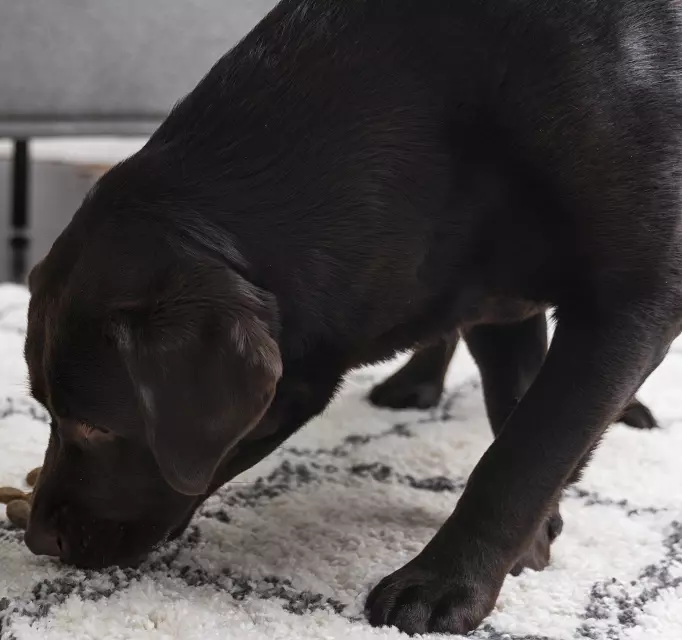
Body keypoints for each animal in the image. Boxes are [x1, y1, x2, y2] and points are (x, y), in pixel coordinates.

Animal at [21, 0, 680, 636]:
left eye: (96, 427)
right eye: (49, 411)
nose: (36, 539)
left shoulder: (629, 305)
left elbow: (525, 452)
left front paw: (446, 583)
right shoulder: (497, 297)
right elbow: (515, 410)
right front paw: (537, 534)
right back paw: (415, 381)